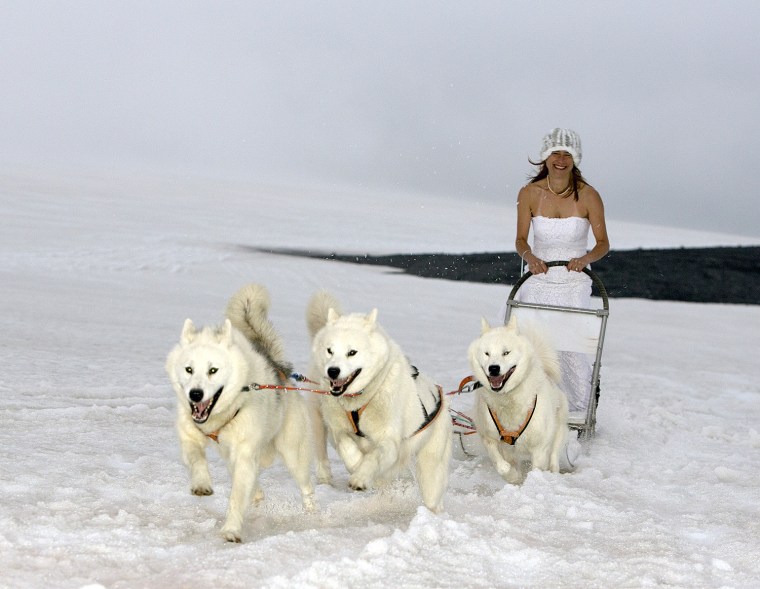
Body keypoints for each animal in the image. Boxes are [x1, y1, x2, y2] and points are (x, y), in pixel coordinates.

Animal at [166, 284, 314, 544]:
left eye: (213, 370)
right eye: (189, 369)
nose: (195, 395)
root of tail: (281, 371)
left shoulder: (245, 455)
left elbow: (236, 497)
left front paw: (231, 530)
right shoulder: (189, 435)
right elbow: (196, 458)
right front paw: (202, 484)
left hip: (293, 456)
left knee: (306, 488)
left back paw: (310, 514)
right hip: (231, 457)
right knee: (254, 487)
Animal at [466, 316, 568, 482]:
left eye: (506, 352)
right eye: (487, 353)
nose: (493, 368)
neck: (508, 399)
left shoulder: (539, 448)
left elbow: (536, 470)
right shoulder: (490, 437)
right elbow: (501, 464)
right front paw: (513, 477)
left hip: (557, 433)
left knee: (553, 458)